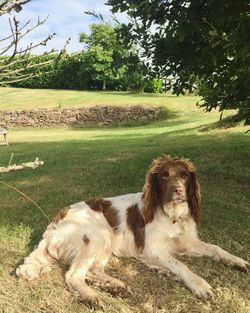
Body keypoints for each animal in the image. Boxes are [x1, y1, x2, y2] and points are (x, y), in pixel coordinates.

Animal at [16, 155, 249, 306]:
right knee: (74, 275)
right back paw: (93, 297)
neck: (171, 215)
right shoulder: (153, 249)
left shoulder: (188, 242)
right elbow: (181, 265)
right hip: (99, 234)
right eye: (164, 176)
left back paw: (117, 285)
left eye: (184, 175)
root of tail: (54, 223)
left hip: (105, 241)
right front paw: (199, 284)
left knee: (92, 271)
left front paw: (238, 261)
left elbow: (217, 248)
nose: (178, 190)